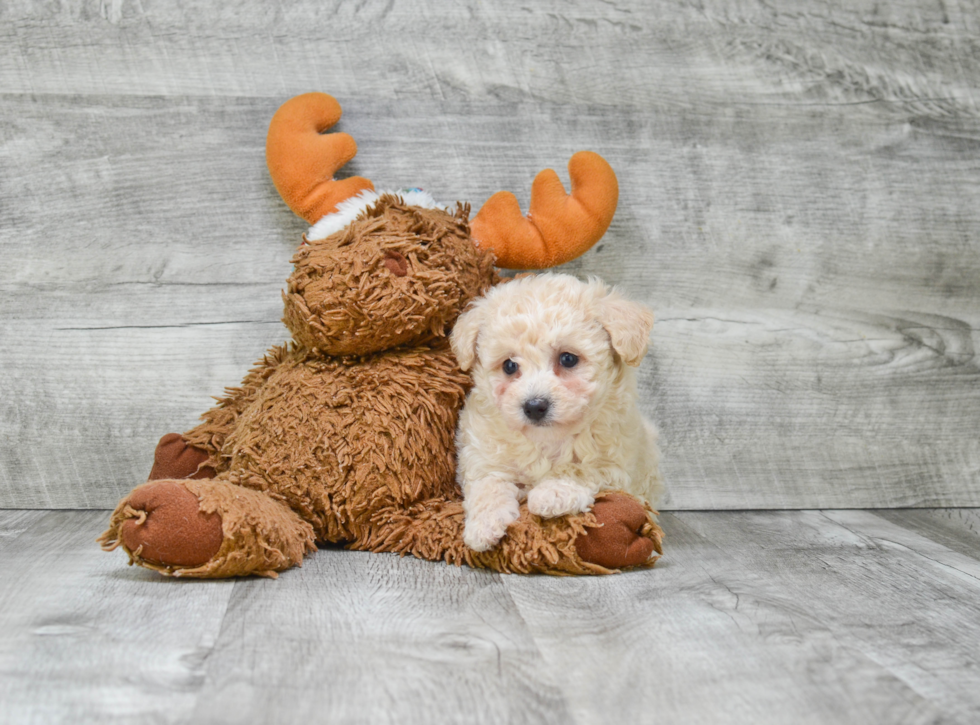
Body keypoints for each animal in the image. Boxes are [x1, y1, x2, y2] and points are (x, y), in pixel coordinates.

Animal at [452, 274, 668, 552]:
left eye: (568, 359)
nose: (534, 406)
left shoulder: (616, 463)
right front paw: (483, 526)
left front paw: (552, 493)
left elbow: (581, 469)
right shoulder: (483, 452)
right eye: (509, 365)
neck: (547, 439)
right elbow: (488, 482)